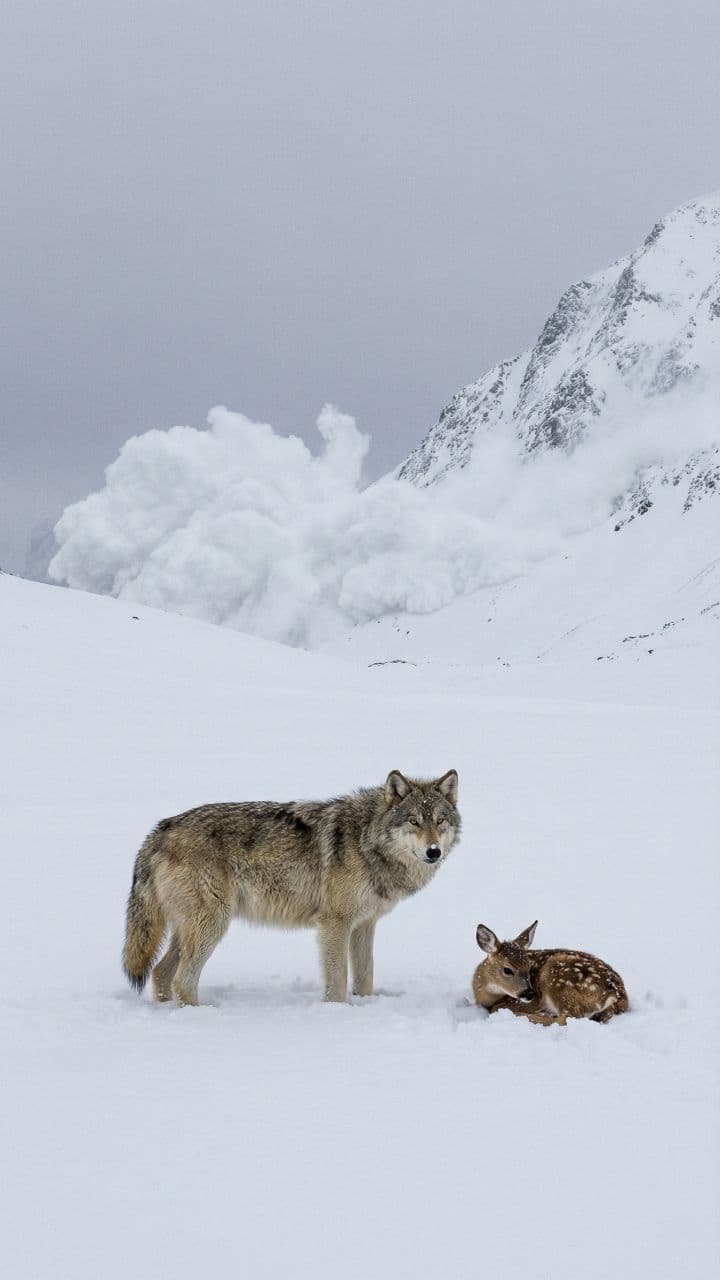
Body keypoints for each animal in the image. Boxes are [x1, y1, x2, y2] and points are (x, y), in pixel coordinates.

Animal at [123, 768, 460, 1005]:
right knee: (182, 979)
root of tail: (159, 831)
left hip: (191, 929)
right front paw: (336, 1012)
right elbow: (338, 981)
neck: (367, 840)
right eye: (414, 821)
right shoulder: (335, 923)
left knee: (160, 973)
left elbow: (365, 977)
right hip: (213, 924)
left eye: (440, 820)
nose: (433, 852)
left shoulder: (364, 924)